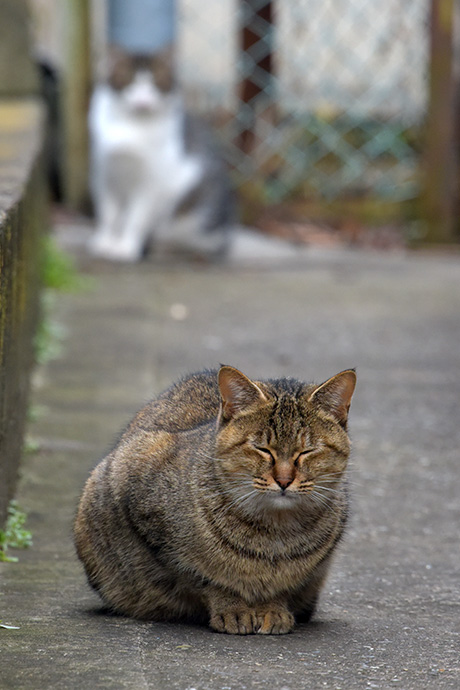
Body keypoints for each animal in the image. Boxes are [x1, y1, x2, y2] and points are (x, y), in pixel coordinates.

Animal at [74, 366, 356, 636]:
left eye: (307, 451)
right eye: (262, 449)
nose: (284, 480)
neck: (274, 532)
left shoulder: (312, 566)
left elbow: (284, 585)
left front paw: (272, 608)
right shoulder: (158, 535)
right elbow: (206, 579)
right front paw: (232, 608)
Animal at [87, 45, 234, 260]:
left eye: (156, 84)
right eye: (129, 82)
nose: (143, 102)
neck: (131, 126)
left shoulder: (152, 184)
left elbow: (136, 218)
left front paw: (126, 248)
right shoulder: (105, 176)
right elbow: (108, 215)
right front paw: (105, 242)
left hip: (197, 216)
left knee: (198, 246)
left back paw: (162, 249)